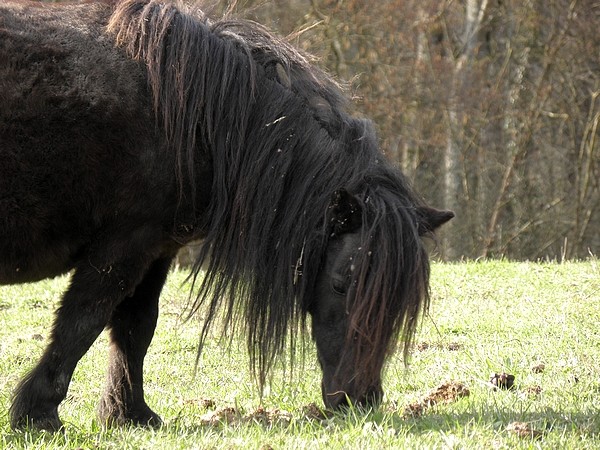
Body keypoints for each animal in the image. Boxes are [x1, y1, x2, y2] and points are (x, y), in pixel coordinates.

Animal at [0, 0, 450, 430]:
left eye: (401, 303)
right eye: (341, 285)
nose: (359, 400)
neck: (194, 112)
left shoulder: (156, 248)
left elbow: (136, 328)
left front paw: (130, 414)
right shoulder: (122, 248)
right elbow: (81, 324)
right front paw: (38, 415)